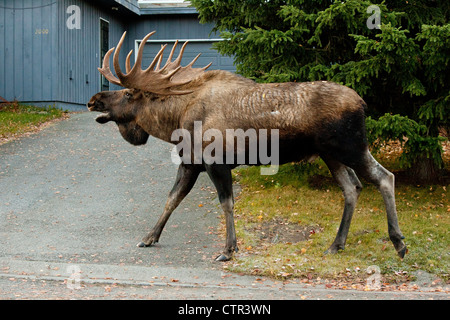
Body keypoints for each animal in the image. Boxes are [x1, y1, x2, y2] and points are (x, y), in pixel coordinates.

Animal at [86, 31, 406, 262]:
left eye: (128, 94)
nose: (93, 100)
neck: (175, 121)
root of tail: (362, 103)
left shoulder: (216, 161)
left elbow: (226, 203)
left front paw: (229, 249)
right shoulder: (190, 162)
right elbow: (171, 199)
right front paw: (150, 237)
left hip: (351, 147)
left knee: (384, 178)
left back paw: (398, 242)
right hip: (331, 155)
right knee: (352, 187)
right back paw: (336, 244)